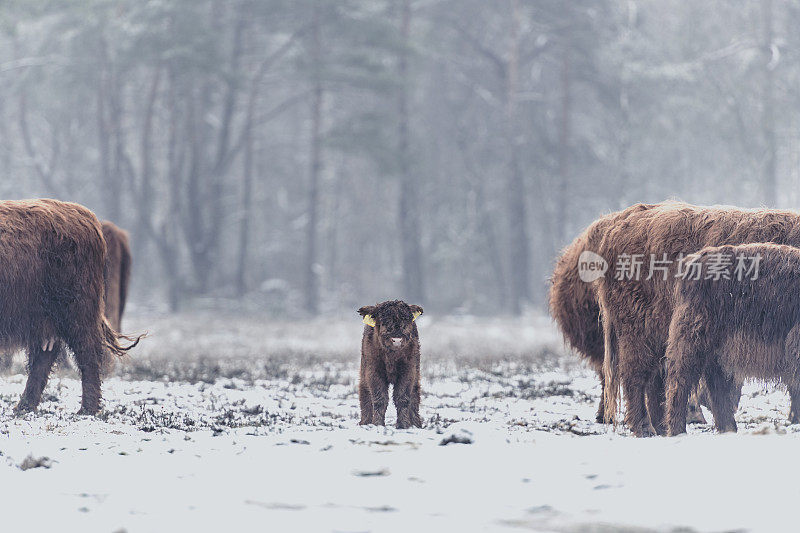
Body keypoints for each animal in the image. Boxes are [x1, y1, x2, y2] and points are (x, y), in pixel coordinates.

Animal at [0, 198, 141, 412]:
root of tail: (84, 214)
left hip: (78, 310)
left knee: (88, 352)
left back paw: (87, 409)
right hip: (44, 318)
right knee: (44, 356)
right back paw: (24, 406)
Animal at [360, 300, 424, 428]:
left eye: (406, 321)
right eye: (384, 321)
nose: (397, 340)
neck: (391, 357)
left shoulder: (408, 371)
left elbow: (402, 397)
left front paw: (403, 424)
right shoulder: (373, 372)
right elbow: (379, 398)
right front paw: (377, 424)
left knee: (415, 395)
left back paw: (416, 423)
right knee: (365, 394)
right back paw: (365, 422)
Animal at [664, 243, 800, 434]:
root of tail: (693, 261)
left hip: (716, 350)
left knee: (716, 384)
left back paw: (728, 428)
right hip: (692, 340)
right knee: (680, 382)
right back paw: (677, 431)